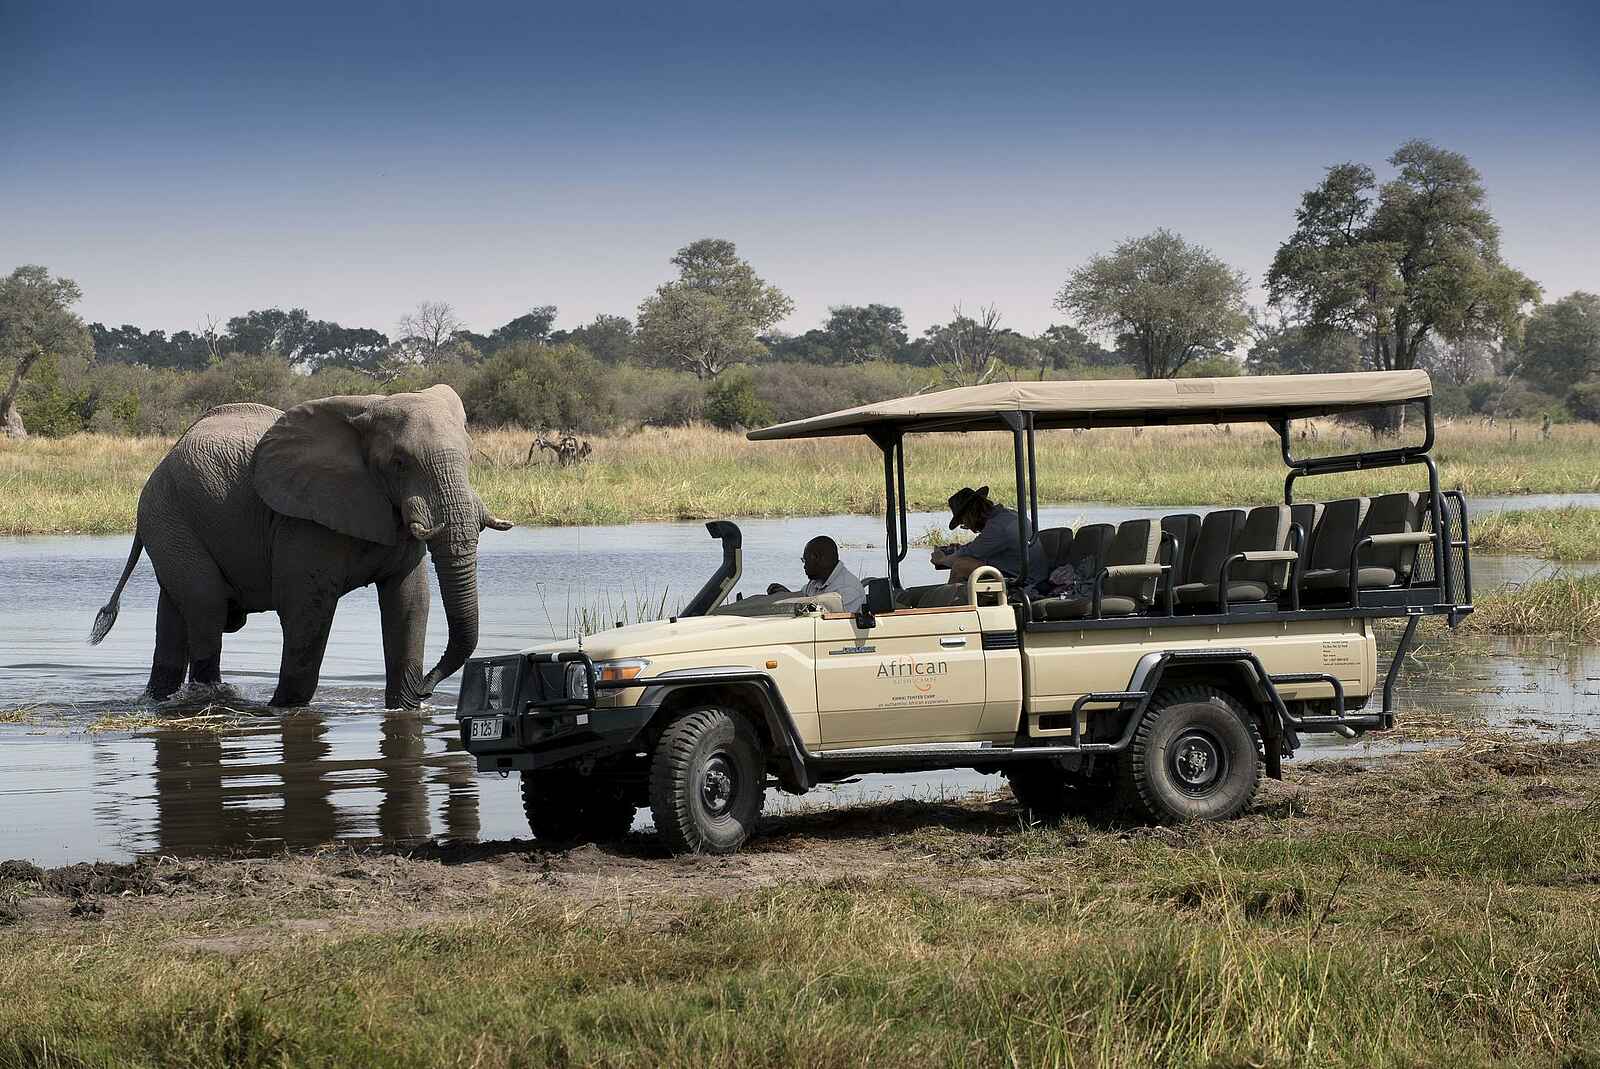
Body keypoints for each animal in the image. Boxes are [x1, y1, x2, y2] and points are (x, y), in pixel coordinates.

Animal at [89, 384, 512, 708]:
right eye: (399, 462)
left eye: (470, 456)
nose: (427, 689)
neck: (368, 409)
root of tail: (163, 460)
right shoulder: (303, 518)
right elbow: (307, 609)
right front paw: (283, 708)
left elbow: (409, 602)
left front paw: (405, 708)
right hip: (168, 515)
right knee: (206, 607)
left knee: (176, 612)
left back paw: (158, 700)